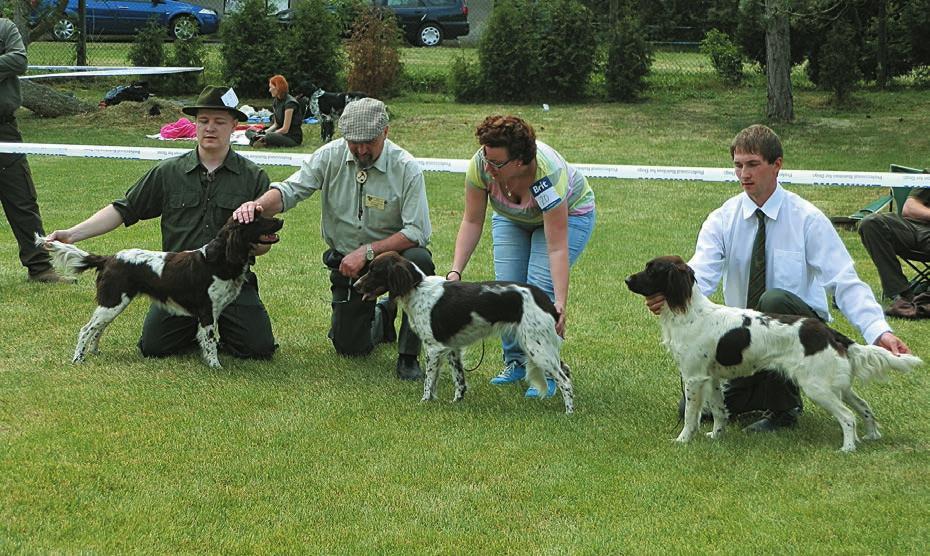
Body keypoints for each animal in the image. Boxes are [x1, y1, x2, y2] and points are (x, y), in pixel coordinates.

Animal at [36, 217, 280, 370]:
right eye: (258, 218)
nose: (281, 220)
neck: (217, 260)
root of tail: (109, 258)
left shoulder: (214, 311)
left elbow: (206, 340)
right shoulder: (207, 311)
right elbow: (210, 342)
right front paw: (215, 366)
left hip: (114, 304)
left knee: (98, 328)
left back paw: (94, 352)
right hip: (112, 302)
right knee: (86, 329)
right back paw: (78, 359)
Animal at [356, 252, 572, 412]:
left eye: (374, 271)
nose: (356, 285)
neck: (418, 288)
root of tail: (548, 302)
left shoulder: (433, 348)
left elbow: (429, 381)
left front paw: (425, 401)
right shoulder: (451, 348)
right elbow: (459, 380)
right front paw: (455, 402)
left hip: (537, 347)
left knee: (565, 380)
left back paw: (568, 412)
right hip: (539, 345)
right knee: (566, 369)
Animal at [624, 256, 920, 452]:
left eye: (652, 270)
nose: (627, 279)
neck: (688, 312)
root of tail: (829, 333)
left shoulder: (694, 377)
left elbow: (690, 416)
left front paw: (683, 440)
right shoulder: (713, 378)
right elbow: (719, 411)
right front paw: (716, 436)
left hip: (817, 387)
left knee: (847, 417)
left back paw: (847, 448)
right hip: (838, 385)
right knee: (865, 407)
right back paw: (872, 437)